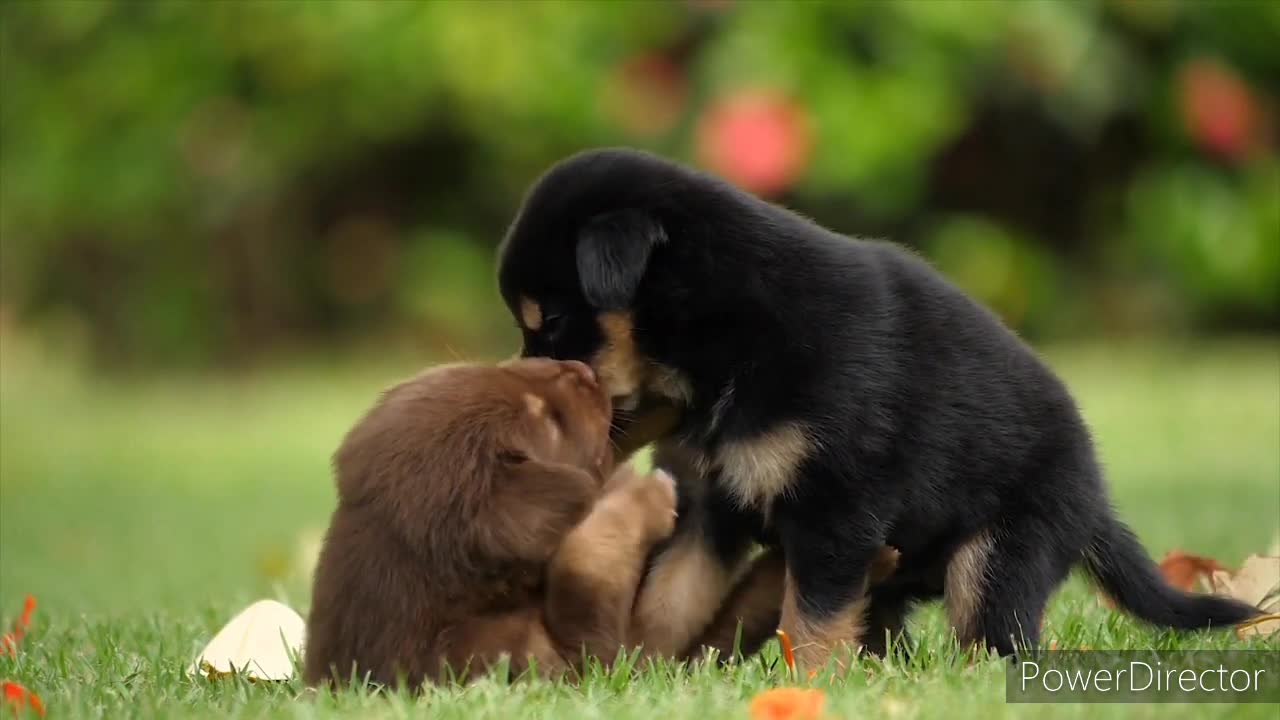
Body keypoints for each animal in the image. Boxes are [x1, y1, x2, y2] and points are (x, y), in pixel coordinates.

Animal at [496, 147, 1259, 666]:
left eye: (552, 321)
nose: (513, 381)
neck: (727, 349)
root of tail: (1095, 500)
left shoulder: (836, 509)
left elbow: (811, 621)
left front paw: (812, 684)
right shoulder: (710, 508)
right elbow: (668, 599)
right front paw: (644, 669)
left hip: (1001, 554)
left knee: (994, 640)